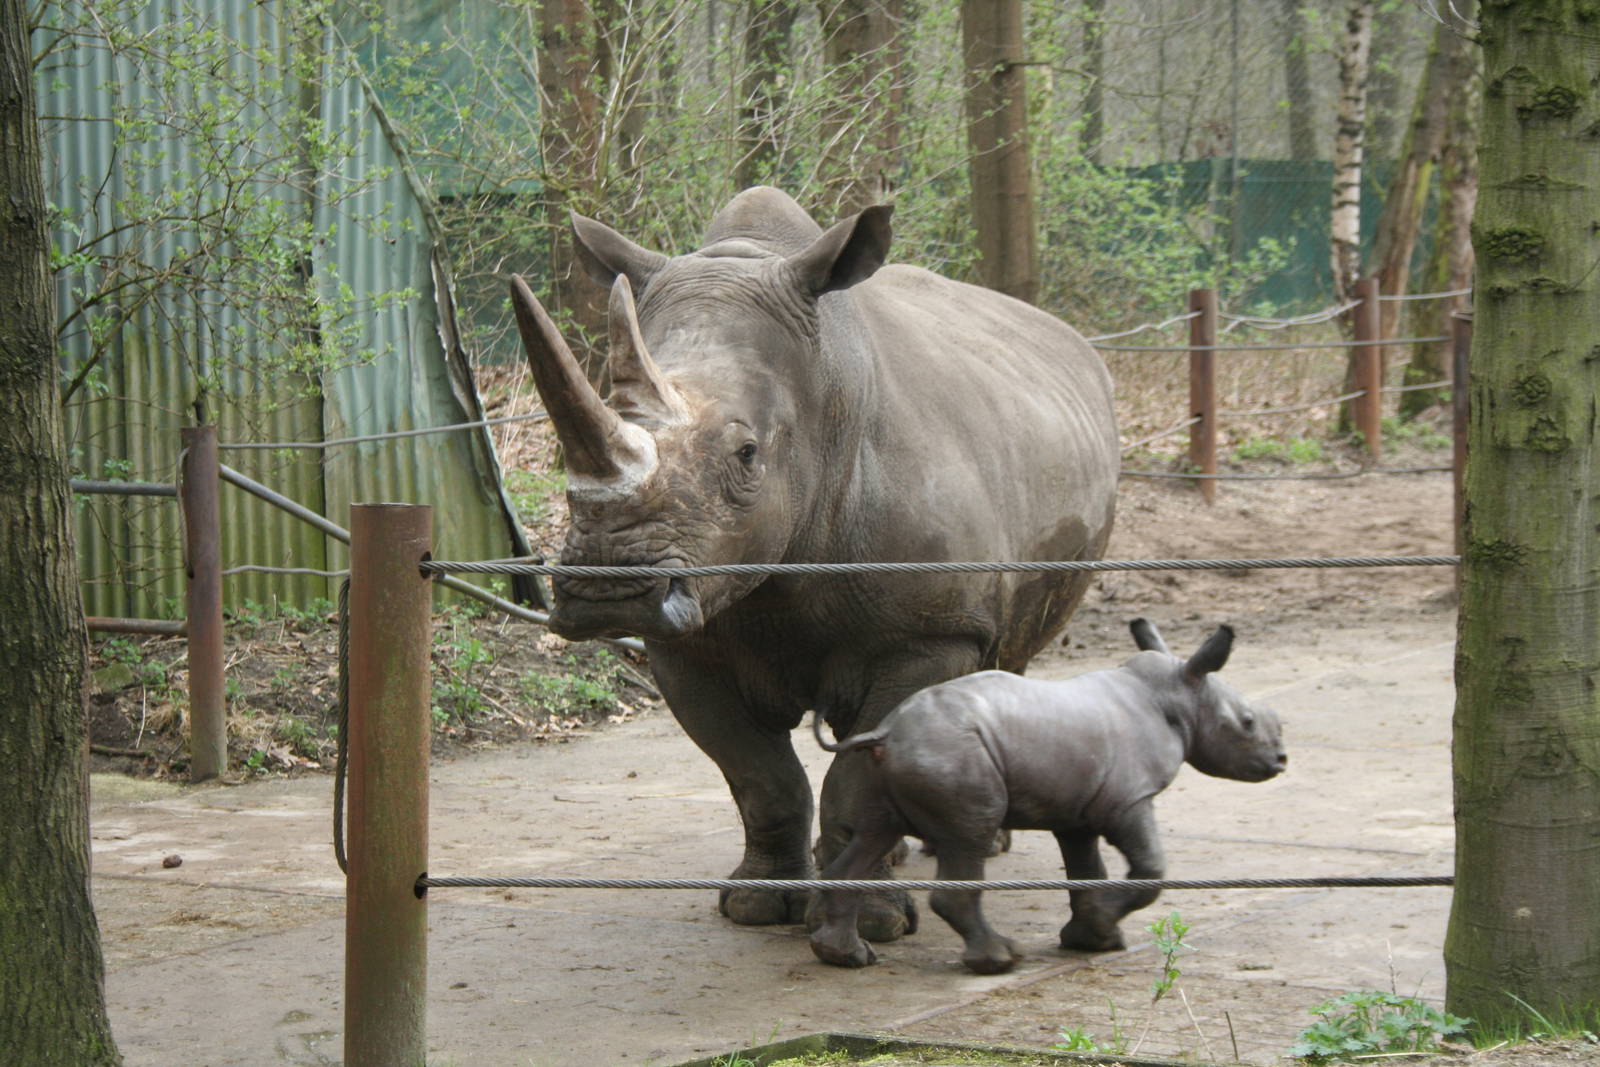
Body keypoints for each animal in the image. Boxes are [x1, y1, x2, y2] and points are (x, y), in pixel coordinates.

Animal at [510, 187, 1118, 942]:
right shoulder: (690, 636)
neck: (825, 400)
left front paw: (874, 921)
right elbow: (761, 778)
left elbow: (852, 779)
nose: (608, 592)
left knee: (1011, 650)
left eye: (747, 454)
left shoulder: (929, 631)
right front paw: (756, 905)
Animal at [807, 619, 1287, 974]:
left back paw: (847, 957)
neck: (1178, 694)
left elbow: (1087, 871)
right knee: (969, 836)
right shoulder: (1129, 799)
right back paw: (1000, 959)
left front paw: (1094, 938)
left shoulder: (1078, 810)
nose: (1281, 760)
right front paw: (1100, 927)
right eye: (1247, 723)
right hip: (953, 756)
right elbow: (1150, 869)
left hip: (894, 766)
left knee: (875, 834)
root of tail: (886, 732)